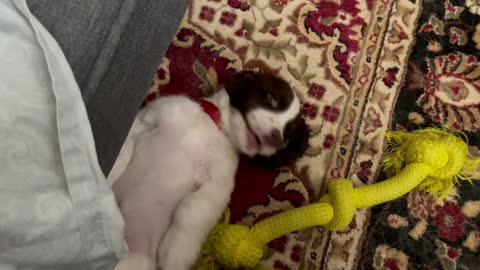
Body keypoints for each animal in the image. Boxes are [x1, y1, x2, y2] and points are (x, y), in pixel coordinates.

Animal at [110, 71, 310, 270]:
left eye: (288, 135)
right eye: (270, 98)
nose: (277, 138)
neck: (213, 126)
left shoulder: (218, 185)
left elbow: (191, 209)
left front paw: (177, 251)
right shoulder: (148, 118)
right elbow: (123, 149)